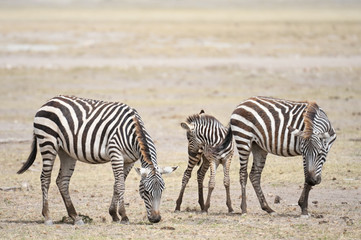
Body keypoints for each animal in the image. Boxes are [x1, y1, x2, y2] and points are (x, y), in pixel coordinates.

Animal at [16, 95, 177, 225]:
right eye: (146, 192)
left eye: (162, 191)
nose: (156, 219)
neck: (133, 131)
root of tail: (49, 101)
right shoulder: (115, 154)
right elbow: (120, 186)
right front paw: (124, 216)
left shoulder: (129, 161)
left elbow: (117, 185)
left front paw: (114, 215)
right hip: (47, 142)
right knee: (45, 178)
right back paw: (48, 217)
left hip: (66, 152)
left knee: (62, 181)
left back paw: (75, 217)